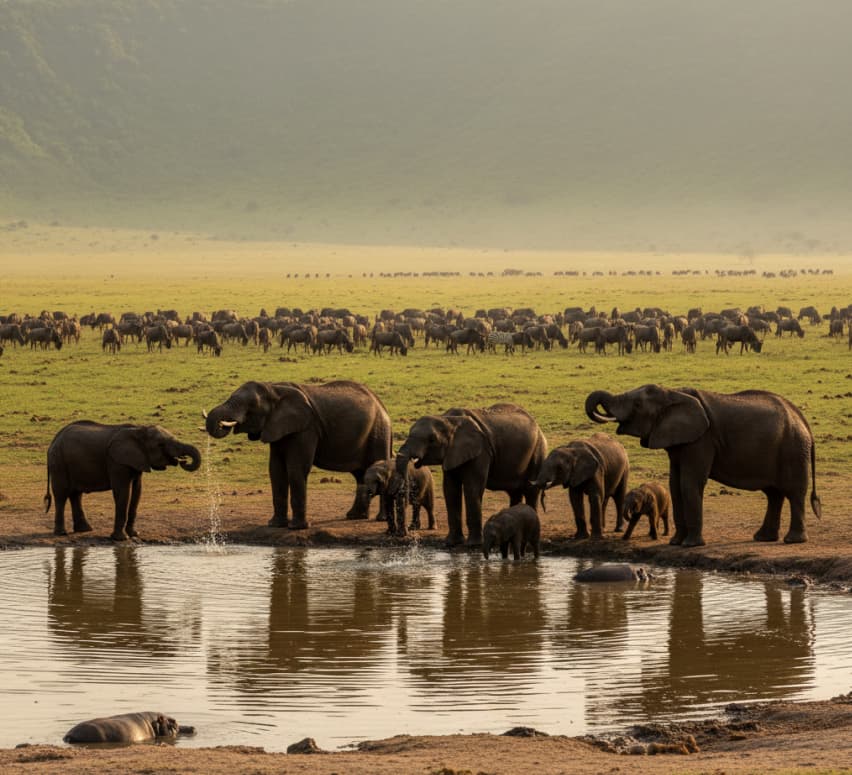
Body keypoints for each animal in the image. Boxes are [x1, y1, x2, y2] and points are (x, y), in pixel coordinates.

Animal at [45, 421, 201, 541]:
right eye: (161, 445)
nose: (183, 461)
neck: (139, 430)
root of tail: (54, 439)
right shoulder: (116, 461)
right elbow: (123, 492)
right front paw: (120, 538)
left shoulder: (136, 461)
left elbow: (137, 492)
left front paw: (134, 534)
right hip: (58, 461)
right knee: (61, 494)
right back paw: (62, 533)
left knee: (76, 495)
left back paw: (85, 530)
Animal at [204, 380, 392, 528]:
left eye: (251, 405)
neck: (274, 389)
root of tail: (382, 406)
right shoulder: (276, 427)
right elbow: (276, 470)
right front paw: (275, 525)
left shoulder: (306, 428)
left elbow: (296, 468)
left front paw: (297, 527)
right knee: (361, 474)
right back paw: (354, 516)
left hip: (379, 432)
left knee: (376, 469)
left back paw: (379, 519)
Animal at [396, 403, 546, 547]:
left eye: (432, 440)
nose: (407, 534)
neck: (448, 420)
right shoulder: (451, 454)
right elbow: (450, 490)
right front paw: (451, 543)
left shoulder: (480, 452)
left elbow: (472, 489)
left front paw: (473, 545)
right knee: (514, 493)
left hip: (538, 451)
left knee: (531, 491)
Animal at [585, 385, 821, 546]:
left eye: (637, 405)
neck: (674, 393)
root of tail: (803, 419)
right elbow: (675, 485)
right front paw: (675, 543)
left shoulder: (702, 439)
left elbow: (689, 483)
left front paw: (690, 545)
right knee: (773, 494)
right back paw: (763, 538)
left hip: (793, 449)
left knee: (794, 492)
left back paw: (792, 540)